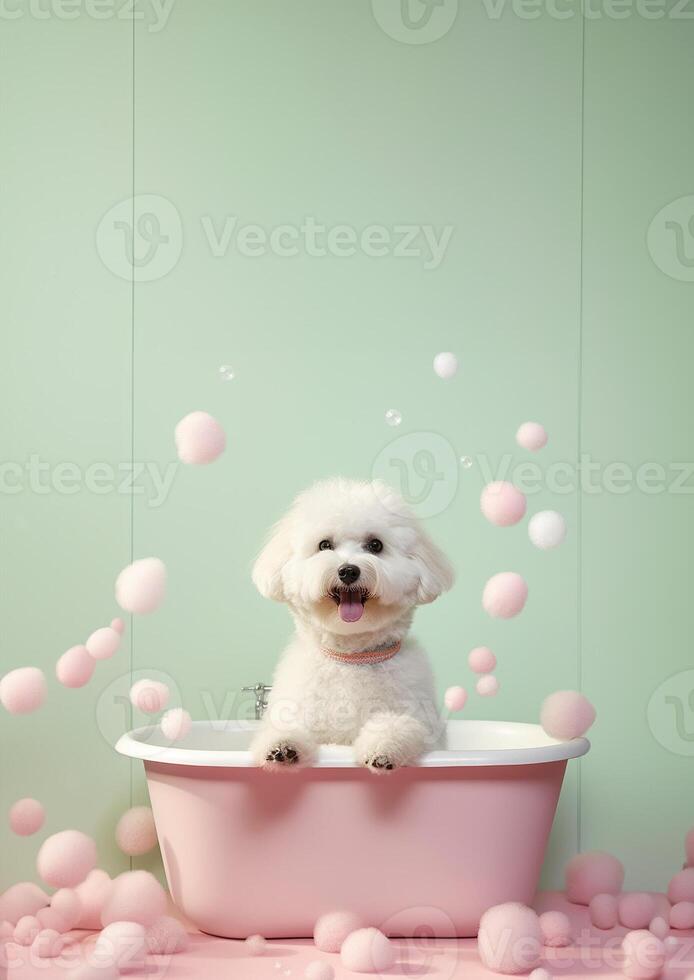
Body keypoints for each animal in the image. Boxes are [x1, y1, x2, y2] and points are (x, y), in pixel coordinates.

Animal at [251, 476, 456, 772]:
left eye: (375, 545)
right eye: (324, 545)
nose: (348, 571)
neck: (351, 658)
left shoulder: (419, 719)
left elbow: (397, 724)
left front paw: (382, 749)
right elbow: (285, 726)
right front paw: (282, 746)